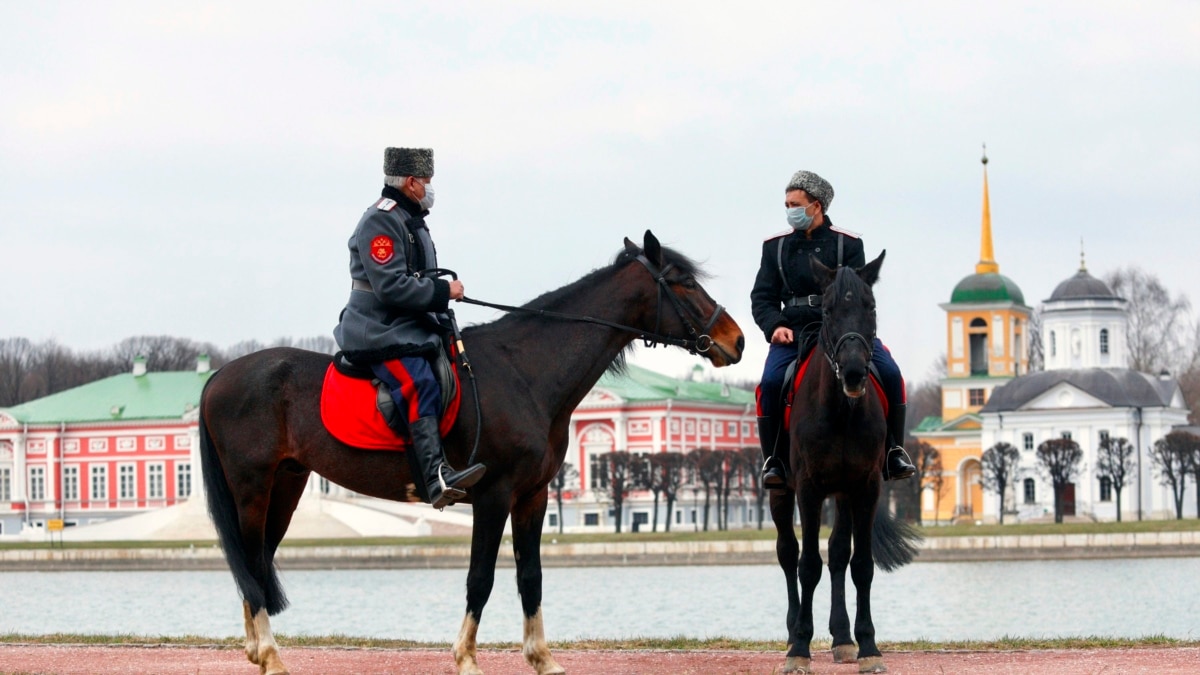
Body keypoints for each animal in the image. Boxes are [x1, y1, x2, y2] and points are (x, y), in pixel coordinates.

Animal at [201, 230, 744, 672]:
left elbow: (530, 576)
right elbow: (480, 578)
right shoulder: (493, 494)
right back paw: (270, 654)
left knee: (257, 561)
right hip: (253, 489)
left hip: (286, 487)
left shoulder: (533, 496)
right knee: (251, 563)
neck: (524, 371)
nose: (736, 340)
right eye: (682, 281)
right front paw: (465, 658)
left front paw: (542, 658)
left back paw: (258, 650)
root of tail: (219, 375)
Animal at [768, 251, 916, 672]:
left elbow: (859, 564)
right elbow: (807, 565)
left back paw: (842, 637)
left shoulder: (864, 487)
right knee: (788, 554)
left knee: (837, 555)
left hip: (845, 495)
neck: (841, 410)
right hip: (781, 492)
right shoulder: (808, 489)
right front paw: (800, 647)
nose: (853, 372)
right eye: (829, 309)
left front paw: (867, 645)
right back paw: (792, 635)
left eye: (871, 306)